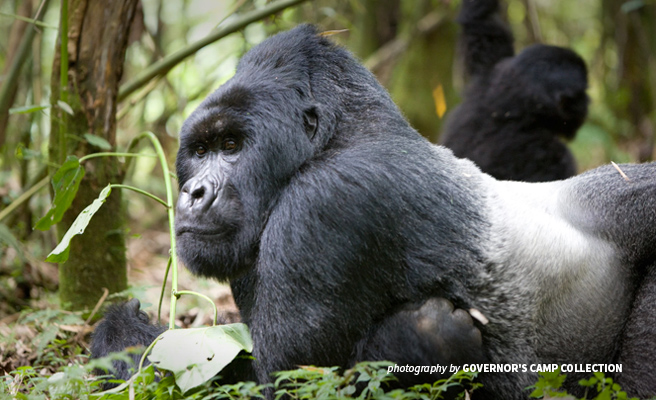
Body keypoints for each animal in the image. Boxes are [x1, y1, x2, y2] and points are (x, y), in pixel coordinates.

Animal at [93, 25, 656, 400]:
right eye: (201, 149)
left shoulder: (323, 206)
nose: (193, 193)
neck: (341, 133)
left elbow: (292, 385)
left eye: (231, 146)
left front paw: (123, 339)